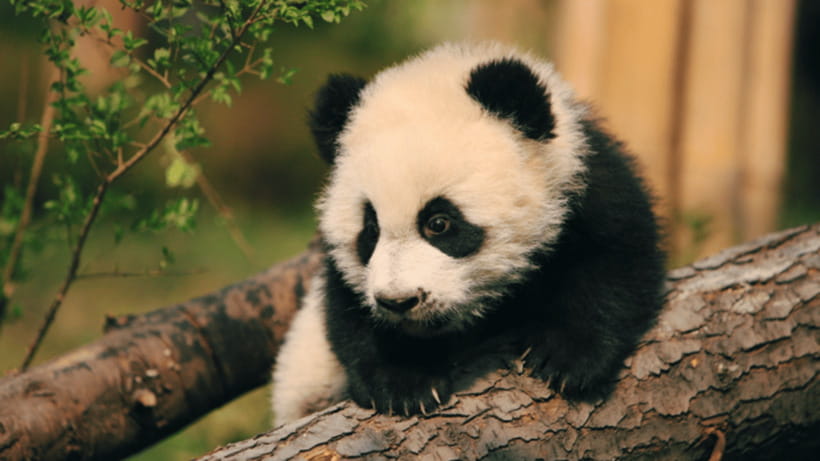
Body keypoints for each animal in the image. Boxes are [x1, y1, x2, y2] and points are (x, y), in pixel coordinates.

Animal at [272, 42, 665, 425]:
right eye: (370, 229)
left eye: (439, 223)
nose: (398, 302)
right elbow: (348, 312)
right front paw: (404, 381)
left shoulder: (587, 183)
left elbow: (616, 258)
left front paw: (567, 357)